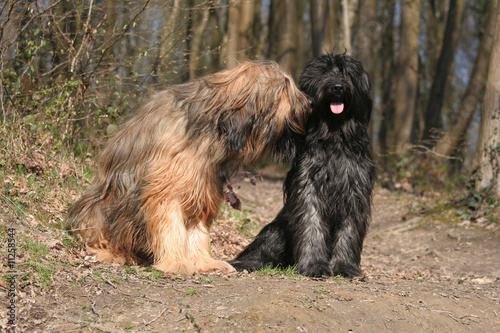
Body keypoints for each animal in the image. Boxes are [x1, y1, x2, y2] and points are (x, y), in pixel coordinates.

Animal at [66, 62, 308, 274]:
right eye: (284, 87)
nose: (308, 105)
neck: (214, 126)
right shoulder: (165, 187)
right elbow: (171, 224)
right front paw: (177, 262)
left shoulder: (201, 186)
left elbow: (196, 229)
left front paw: (205, 261)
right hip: (97, 208)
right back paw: (112, 253)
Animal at [229, 53, 376, 276]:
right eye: (324, 72)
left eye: (346, 73)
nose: (337, 87)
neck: (334, 136)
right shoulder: (308, 186)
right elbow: (311, 224)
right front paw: (314, 264)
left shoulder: (355, 190)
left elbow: (349, 230)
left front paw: (345, 266)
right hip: (276, 230)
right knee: (260, 251)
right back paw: (245, 263)